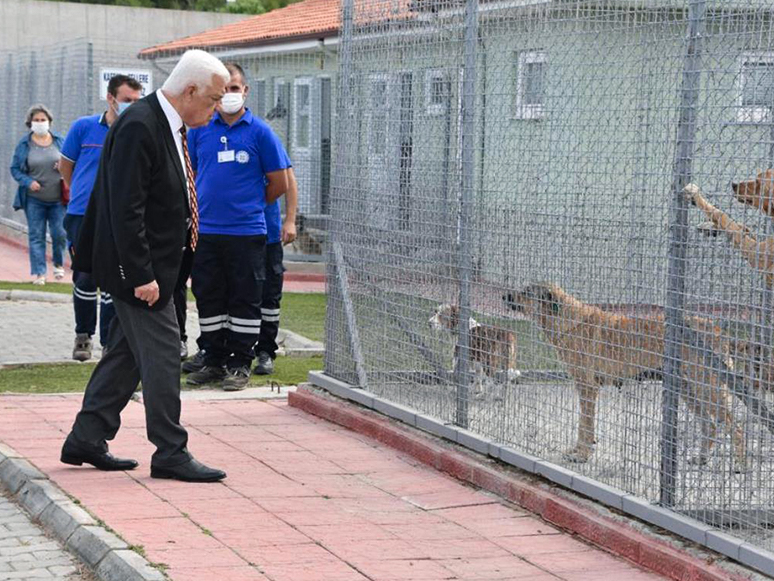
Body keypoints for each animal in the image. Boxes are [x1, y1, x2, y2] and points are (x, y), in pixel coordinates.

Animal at [504, 284, 744, 468]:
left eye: (526, 292)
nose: (505, 295)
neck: (566, 320)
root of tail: (718, 331)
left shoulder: (588, 388)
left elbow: (585, 424)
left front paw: (582, 455)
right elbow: (584, 425)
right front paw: (580, 450)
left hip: (706, 387)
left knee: (735, 425)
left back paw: (741, 465)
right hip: (689, 390)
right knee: (710, 424)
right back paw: (701, 458)